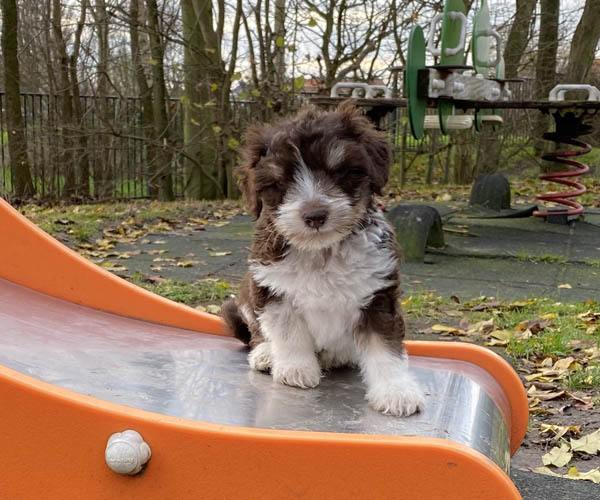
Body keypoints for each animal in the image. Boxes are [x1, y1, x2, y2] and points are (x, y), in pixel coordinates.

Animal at [222, 101, 425, 417]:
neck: (322, 251)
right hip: (240, 305)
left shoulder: (378, 295)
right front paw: (296, 369)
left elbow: (385, 347)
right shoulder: (271, 287)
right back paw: (266, 354)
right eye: (281, 181)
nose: (315, 215)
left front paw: (396, 391)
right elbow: (288, 331)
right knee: (257, 332)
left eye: (340, 171)